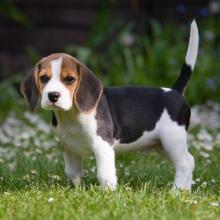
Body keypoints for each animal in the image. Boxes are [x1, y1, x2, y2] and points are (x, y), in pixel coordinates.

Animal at [21, 20, 199, 189]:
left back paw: (176, 192)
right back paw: (185, 192)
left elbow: (104, 175)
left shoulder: (102, 146)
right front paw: (78, 190)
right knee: (190, 160)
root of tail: (175, 91)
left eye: (69, 79)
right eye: (44, 78)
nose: (53, 95)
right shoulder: (69, 147)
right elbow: (73, 173)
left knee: (185, 165)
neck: (72, 114)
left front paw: (108, 192)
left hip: (172, 140)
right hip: (161, 144)